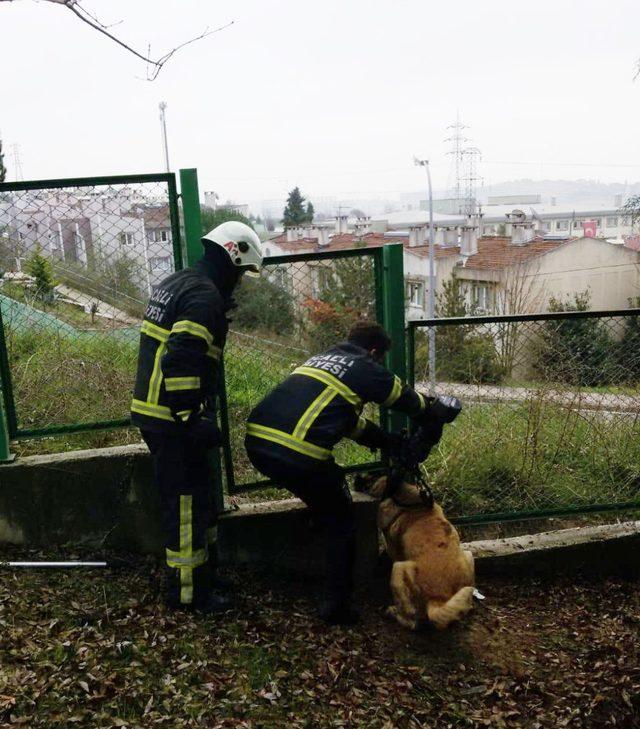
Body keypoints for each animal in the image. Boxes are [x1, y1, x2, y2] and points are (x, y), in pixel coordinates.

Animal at [364, 474, 476, 628]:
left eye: (369, 480)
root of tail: (438, 599)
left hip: (398, 569)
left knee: (412, 619)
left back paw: (393, 613)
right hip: (468, 556)